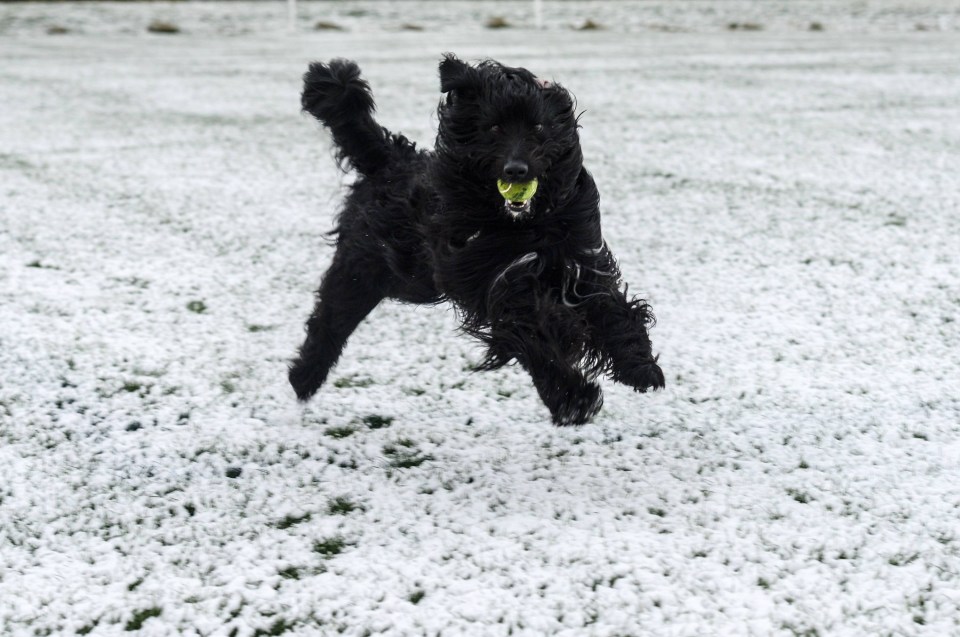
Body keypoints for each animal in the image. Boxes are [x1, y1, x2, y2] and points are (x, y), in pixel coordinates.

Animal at [288, 54, 664, 422]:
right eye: (494, 127)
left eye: (538, 127)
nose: (517, 170)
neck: (524, 225)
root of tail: (388, 161)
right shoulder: (495, 283)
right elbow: (534, 335)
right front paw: (574, 399)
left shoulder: (578, 259)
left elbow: (612, 311)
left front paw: (639, 365)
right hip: (365, 267)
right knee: (331, 318)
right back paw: (303, 378)